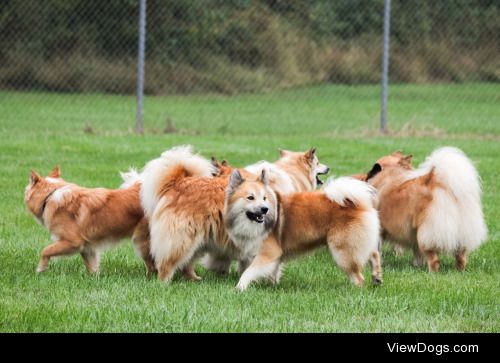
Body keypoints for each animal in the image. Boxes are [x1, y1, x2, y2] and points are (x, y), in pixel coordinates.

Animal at [23, 166, 154, 274]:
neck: (49, 196)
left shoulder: (73, 242)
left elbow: (45, 250)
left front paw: (40, 269)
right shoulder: (87, 247)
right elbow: (92, 266)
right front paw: (95, 277)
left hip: (141, 240)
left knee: (152, 266)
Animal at [140, 146, 278, 282]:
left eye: (264, 198)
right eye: (250, 198)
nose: (265, 209)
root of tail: (179, 182)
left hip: (196, 240)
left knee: (187, 263)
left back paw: (193, 278)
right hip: (183, 239)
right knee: (167, 263)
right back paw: (164, 282)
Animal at [232, 178, 380, 292]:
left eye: (264, 198)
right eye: (250, 198)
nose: (264, 209)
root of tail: (358, 205)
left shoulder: (268, 252)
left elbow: (249, 271)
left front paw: (240, 287)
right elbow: (272, 271)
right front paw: (272, 285)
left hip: (342, 252)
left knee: (358, 277)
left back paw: (355, 290)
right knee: (374, 254)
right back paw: (377, 277)